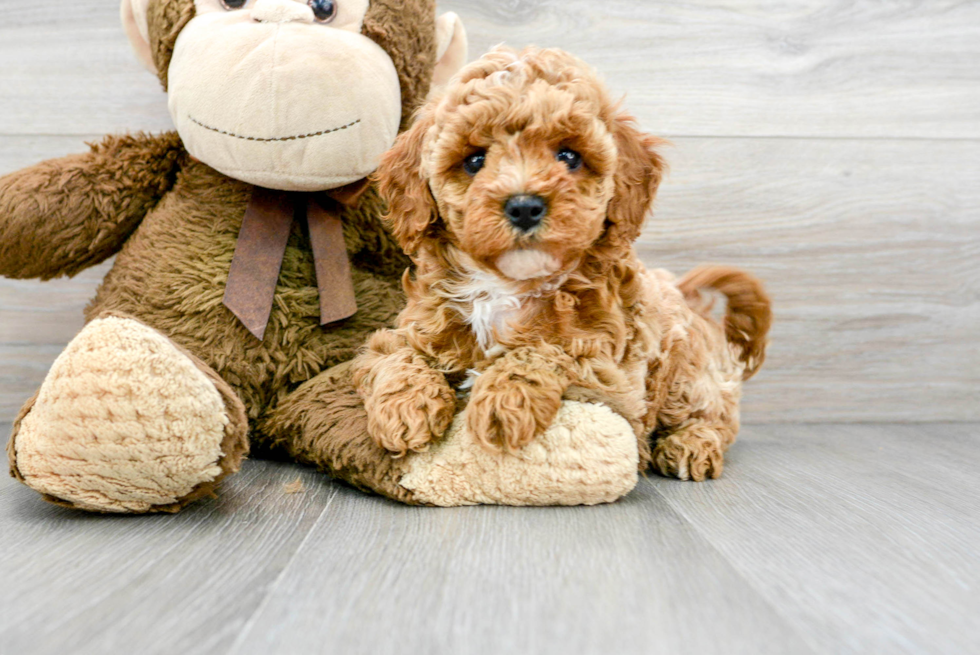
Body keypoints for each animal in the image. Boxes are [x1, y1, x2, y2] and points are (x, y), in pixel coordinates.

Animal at [352, 44, 772, 476]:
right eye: (474, 161)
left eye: (569, 156)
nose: (524, 206)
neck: (506, 287)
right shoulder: (408, 330)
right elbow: (395, 354)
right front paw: (404, 408)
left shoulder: (611, 380)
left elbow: (549, 350)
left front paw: (504, 402)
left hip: (686, 376)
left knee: (713, 416)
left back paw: (691, 445)